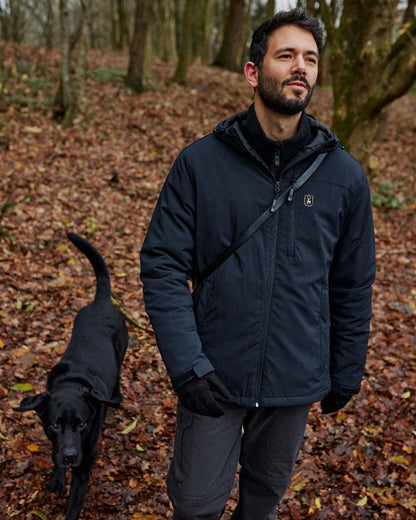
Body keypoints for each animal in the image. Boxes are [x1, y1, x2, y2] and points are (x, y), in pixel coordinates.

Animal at [14, 235, 128, 520]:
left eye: (82, 424)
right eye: (54, 425)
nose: (69, 456)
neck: (73, 383)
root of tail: (101, 302)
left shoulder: (84, 466)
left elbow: (73, 507)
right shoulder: (55, 442)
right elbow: (55, 457)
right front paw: (57, 478)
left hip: (122, 350)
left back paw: (117, 396)